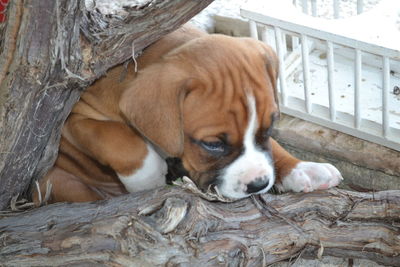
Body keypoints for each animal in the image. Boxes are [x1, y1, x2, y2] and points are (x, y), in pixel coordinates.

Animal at [32, 26, 342, 204]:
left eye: (269, 127)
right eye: (212, 144)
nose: (259, 184)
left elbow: (272, 146)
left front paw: (300, 168)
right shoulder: (68, 121)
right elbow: (120, 139)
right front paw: (148, 179)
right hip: (57, 182)